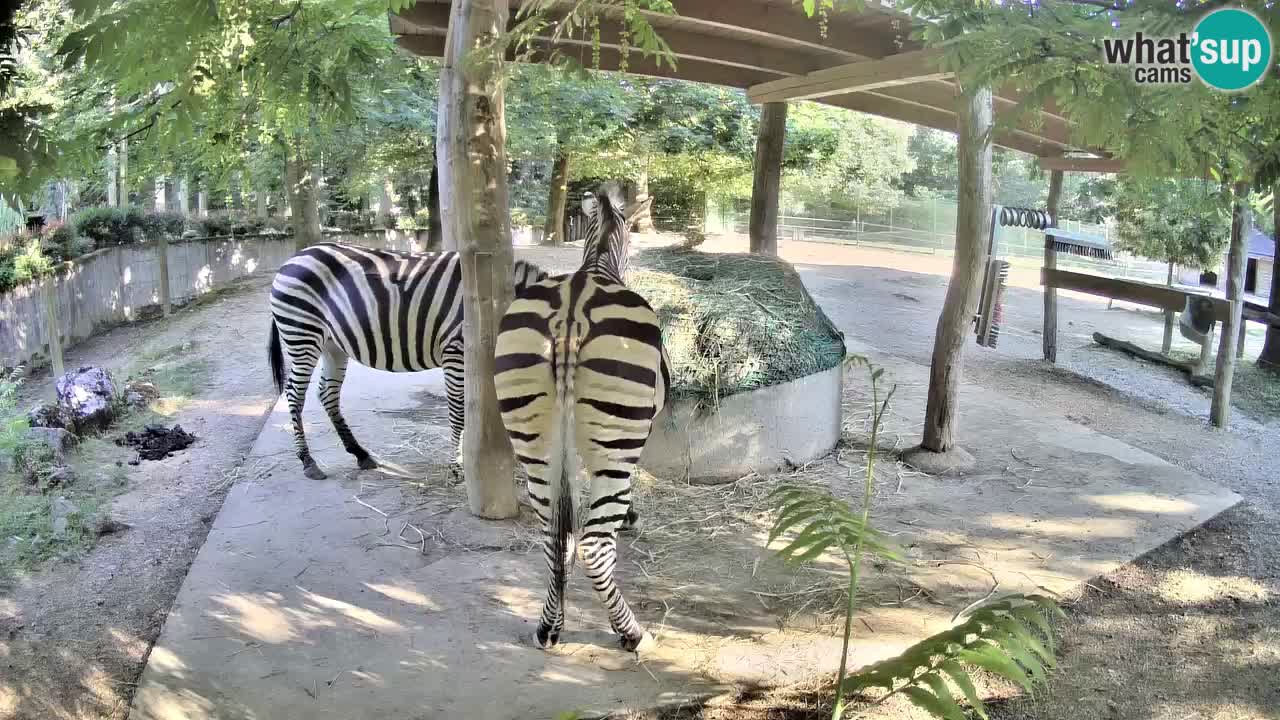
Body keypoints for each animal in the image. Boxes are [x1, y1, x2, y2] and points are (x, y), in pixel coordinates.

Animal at [268, 243, 548, 480]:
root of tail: (294, 258)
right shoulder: (456, 351)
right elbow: (458, 410)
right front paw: (457, 467)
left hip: (332, 344)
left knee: (327, 392)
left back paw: (360, 454)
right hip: (302, 333)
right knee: (294, 394)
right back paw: (308, 461)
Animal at [494, 190, 670, 651]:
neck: (596, 265)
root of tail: (571, 308)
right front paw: (630, 516)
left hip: (533, 438)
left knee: (554, 536)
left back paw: (548, 627)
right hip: (616, 441)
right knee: (593, 545)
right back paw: (632, 634)